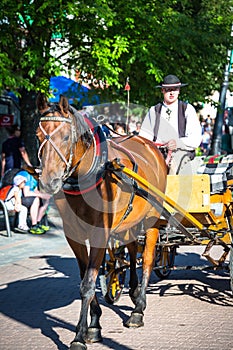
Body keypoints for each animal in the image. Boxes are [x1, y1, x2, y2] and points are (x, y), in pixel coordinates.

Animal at [36, 93, 167, 350]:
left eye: (66, 137)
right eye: (37, 135)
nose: (48, 181)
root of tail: (151, 146)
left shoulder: (100, 232)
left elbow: (88, 282)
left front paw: (79, 336)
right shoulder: (74, 235)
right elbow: (86, 277)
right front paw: (94, 325)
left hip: (152, 220)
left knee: (147, 259)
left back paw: (138, 309)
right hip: (129, 221)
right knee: (132, 250)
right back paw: (134, 291)